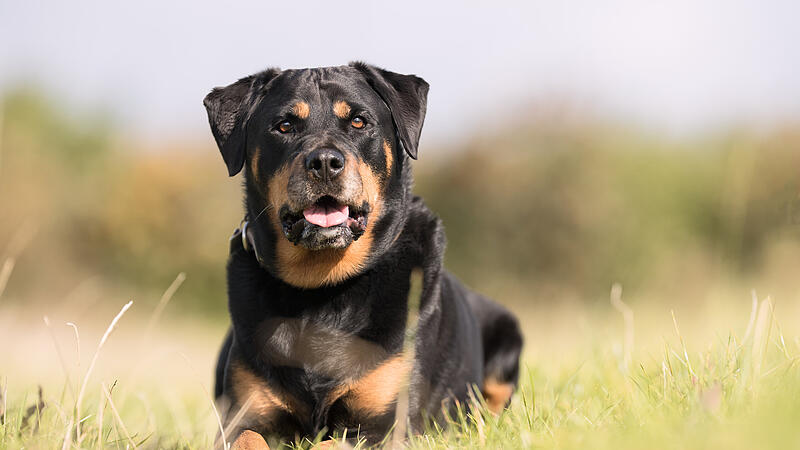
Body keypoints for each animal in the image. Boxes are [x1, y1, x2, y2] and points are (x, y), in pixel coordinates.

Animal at [203, 62, 520, 446]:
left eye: (358, 121)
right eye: (284, 125)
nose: (325, 162)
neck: (321, 288)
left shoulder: (387, 423)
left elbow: (332, 442)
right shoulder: (244, 416)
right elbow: (248, 437)